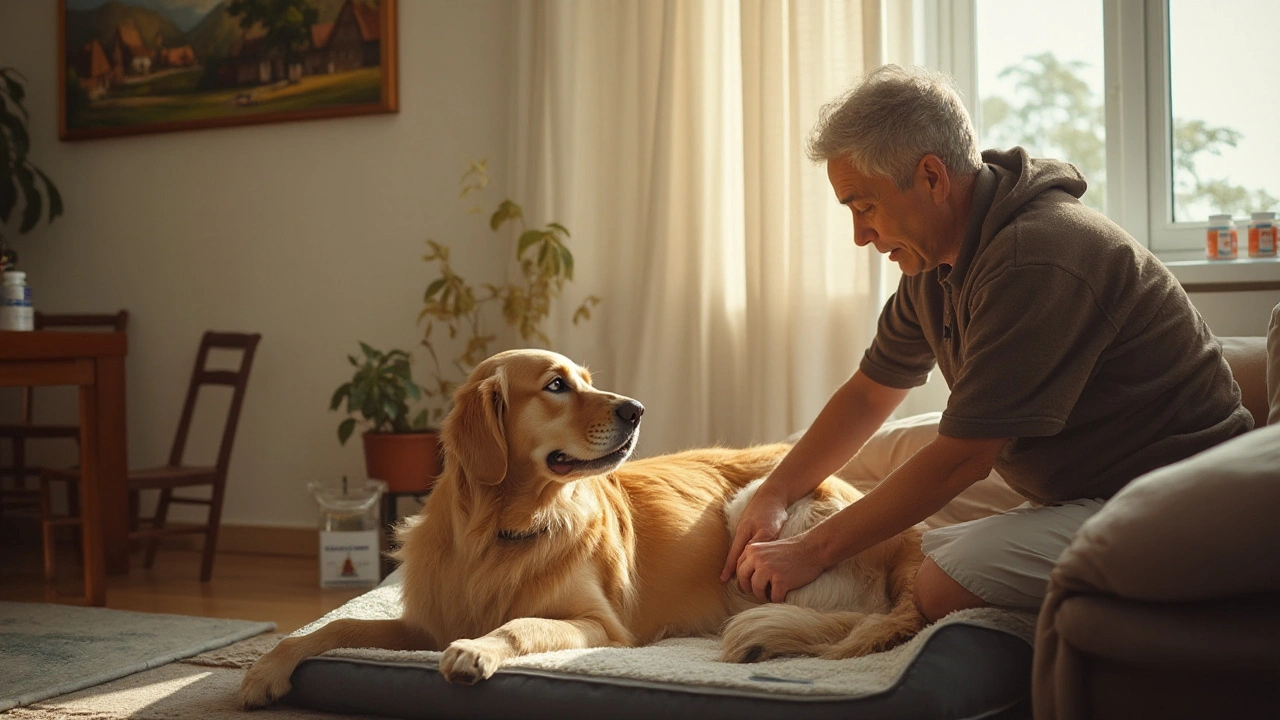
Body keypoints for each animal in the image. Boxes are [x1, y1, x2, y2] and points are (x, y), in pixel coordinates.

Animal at [238, 348, 921, 707]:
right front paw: (264, 670)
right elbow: (333, 628)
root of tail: (909, 548)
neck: (498, 531)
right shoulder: (425, 621)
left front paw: (475, 652)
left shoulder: (599, 624)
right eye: (556, 385)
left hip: (756, 513)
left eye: (586, 380)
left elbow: (518, 625)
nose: (637, 409)